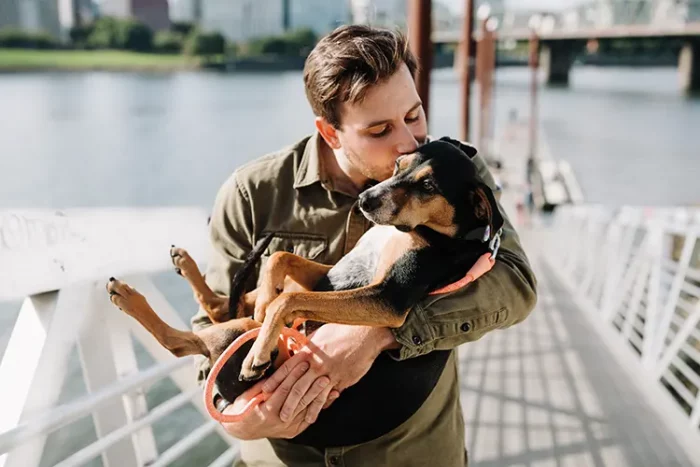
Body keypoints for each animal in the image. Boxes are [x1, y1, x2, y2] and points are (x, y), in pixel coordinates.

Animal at [105, 137, 504, 408]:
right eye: (398, 164)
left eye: (427, 186)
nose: (365, 200)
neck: (423, 233)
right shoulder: (335, 272)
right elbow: (279, 259)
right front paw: (266, 300)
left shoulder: (387, 298)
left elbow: (289, 300)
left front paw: (259, 353)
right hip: (244, 317)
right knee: (219, 308)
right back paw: (174, 270)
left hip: (236, 332)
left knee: (179, 341)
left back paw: (130, 296)